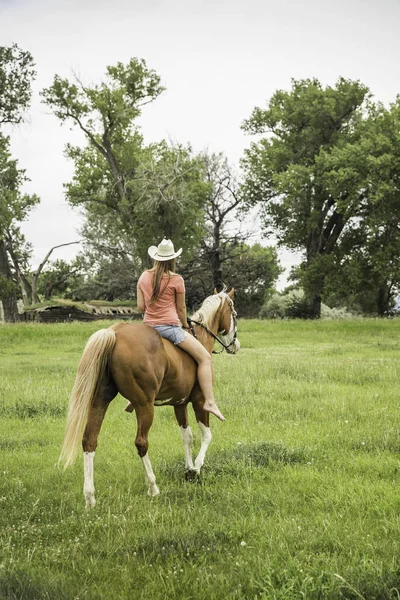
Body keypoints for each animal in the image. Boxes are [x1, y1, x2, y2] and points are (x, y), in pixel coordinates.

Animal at [58, 288, 241, 504]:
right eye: (234, 314)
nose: (236, 345)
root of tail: (114, 333)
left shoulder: (179, 404)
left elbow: (187, 437)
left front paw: (188, 468)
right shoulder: (200, 401)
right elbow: (206, 435)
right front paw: (196, 468)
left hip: (100, 401)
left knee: (89, 440)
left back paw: (90, 497)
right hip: (144, 405)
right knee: (141, 442)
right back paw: (153, 487)